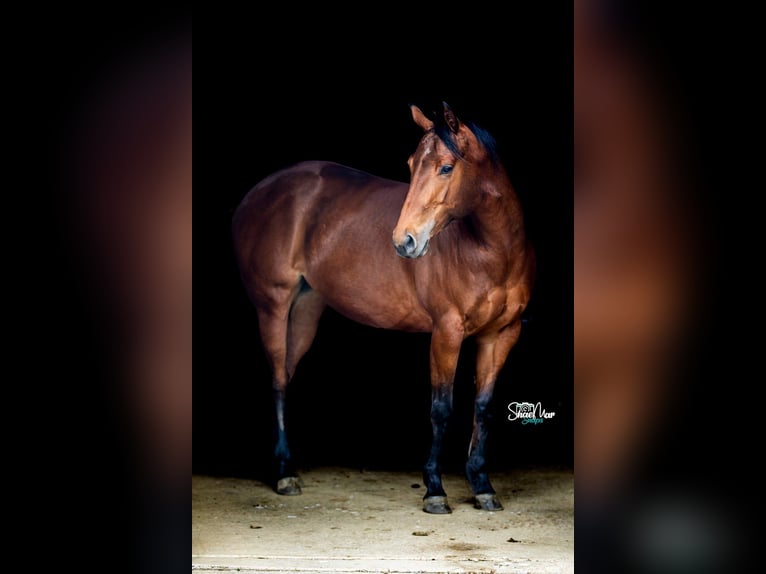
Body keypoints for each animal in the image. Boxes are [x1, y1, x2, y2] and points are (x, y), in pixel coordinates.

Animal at [233, 102, 534, 514]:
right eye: (410, 164)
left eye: (446, 167)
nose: (404, 241)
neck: (491, 252)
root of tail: (256, 194)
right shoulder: (447, 332)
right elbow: (441, 408)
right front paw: (435, 489)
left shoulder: (502, 334)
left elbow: (484, 408)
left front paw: (482, 485)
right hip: (273, 307)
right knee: (278, 379)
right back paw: (284, 474)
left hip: (307, 311)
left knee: (288, 374)